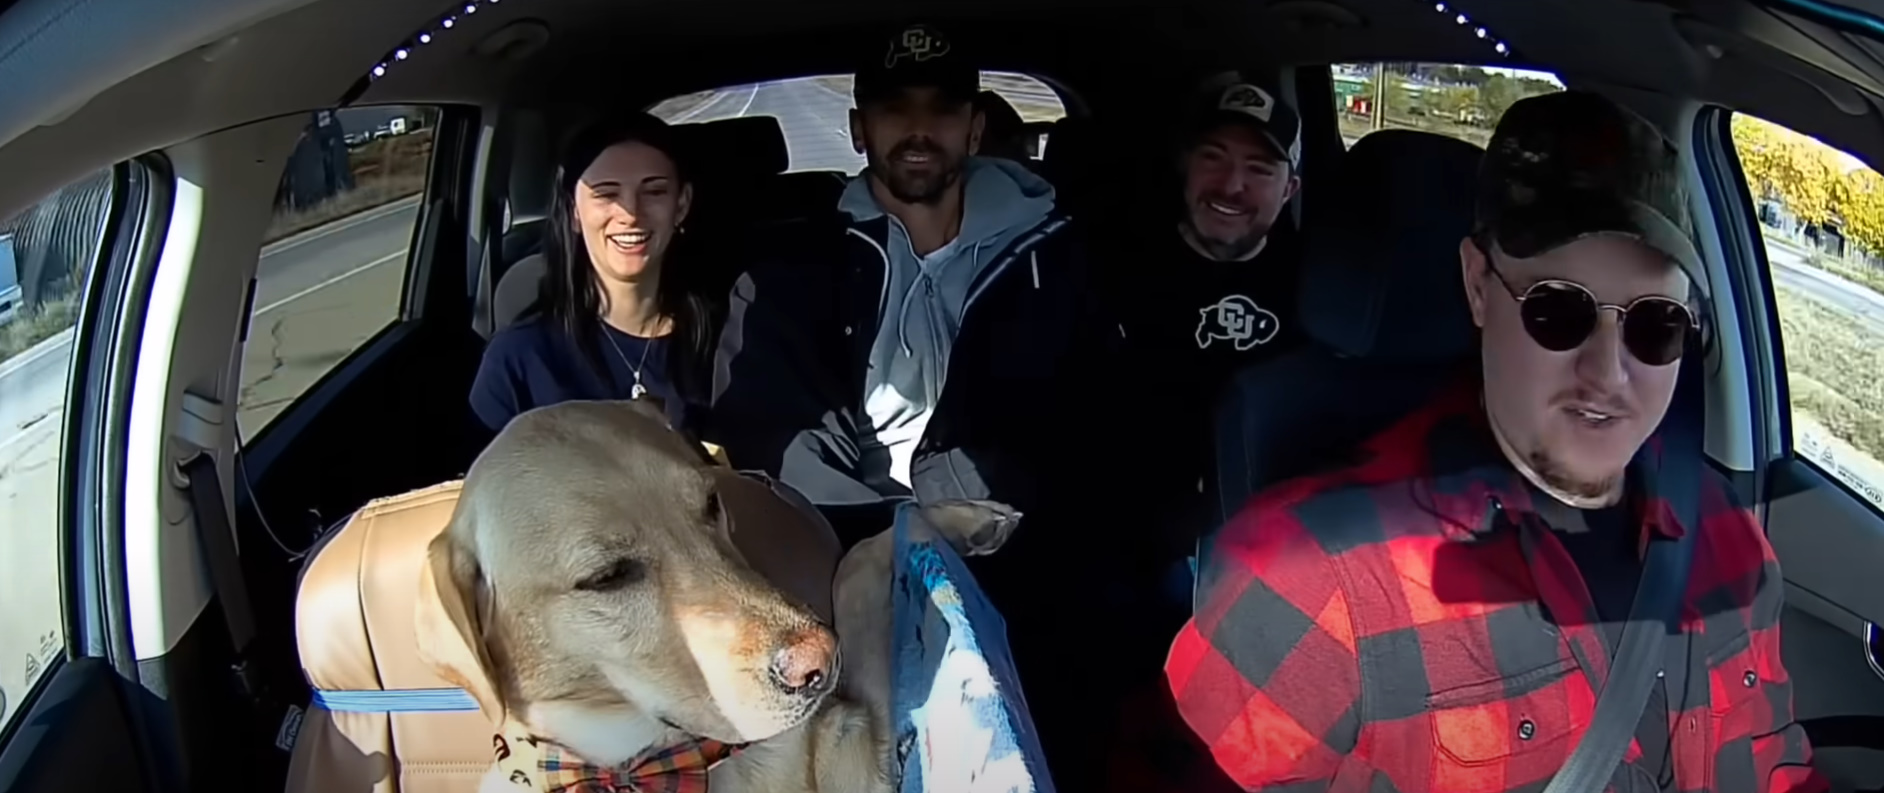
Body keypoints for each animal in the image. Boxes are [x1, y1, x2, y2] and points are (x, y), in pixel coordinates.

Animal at [422, 401, 1024, 791]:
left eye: (711, 503)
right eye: (607, 575)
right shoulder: (859, 749)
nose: (820, 663)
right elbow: (862, 562)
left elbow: (867, 550)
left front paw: (970, 516)